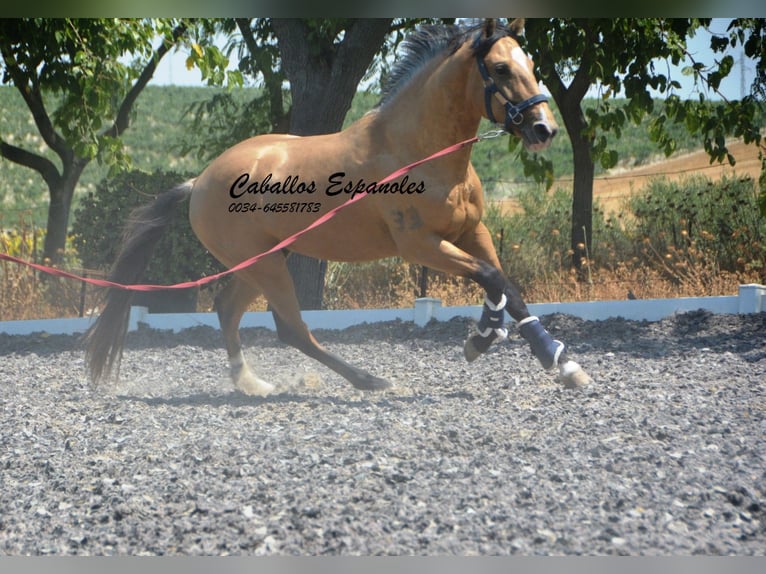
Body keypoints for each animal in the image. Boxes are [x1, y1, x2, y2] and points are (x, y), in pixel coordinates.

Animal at [85, 18, 592, 395]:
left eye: (530, 62)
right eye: (501, 68)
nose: (544, 129)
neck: (416, 151)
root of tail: (199, 182)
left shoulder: (473, 232)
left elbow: (508, 286)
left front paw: (557, 362)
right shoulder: (421, 246)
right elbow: (491, 279)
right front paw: (483, 339)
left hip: (265, 261)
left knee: (228, 310)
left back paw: (252, 384)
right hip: (265, 264)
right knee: (291, 329)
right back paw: (369, 381)